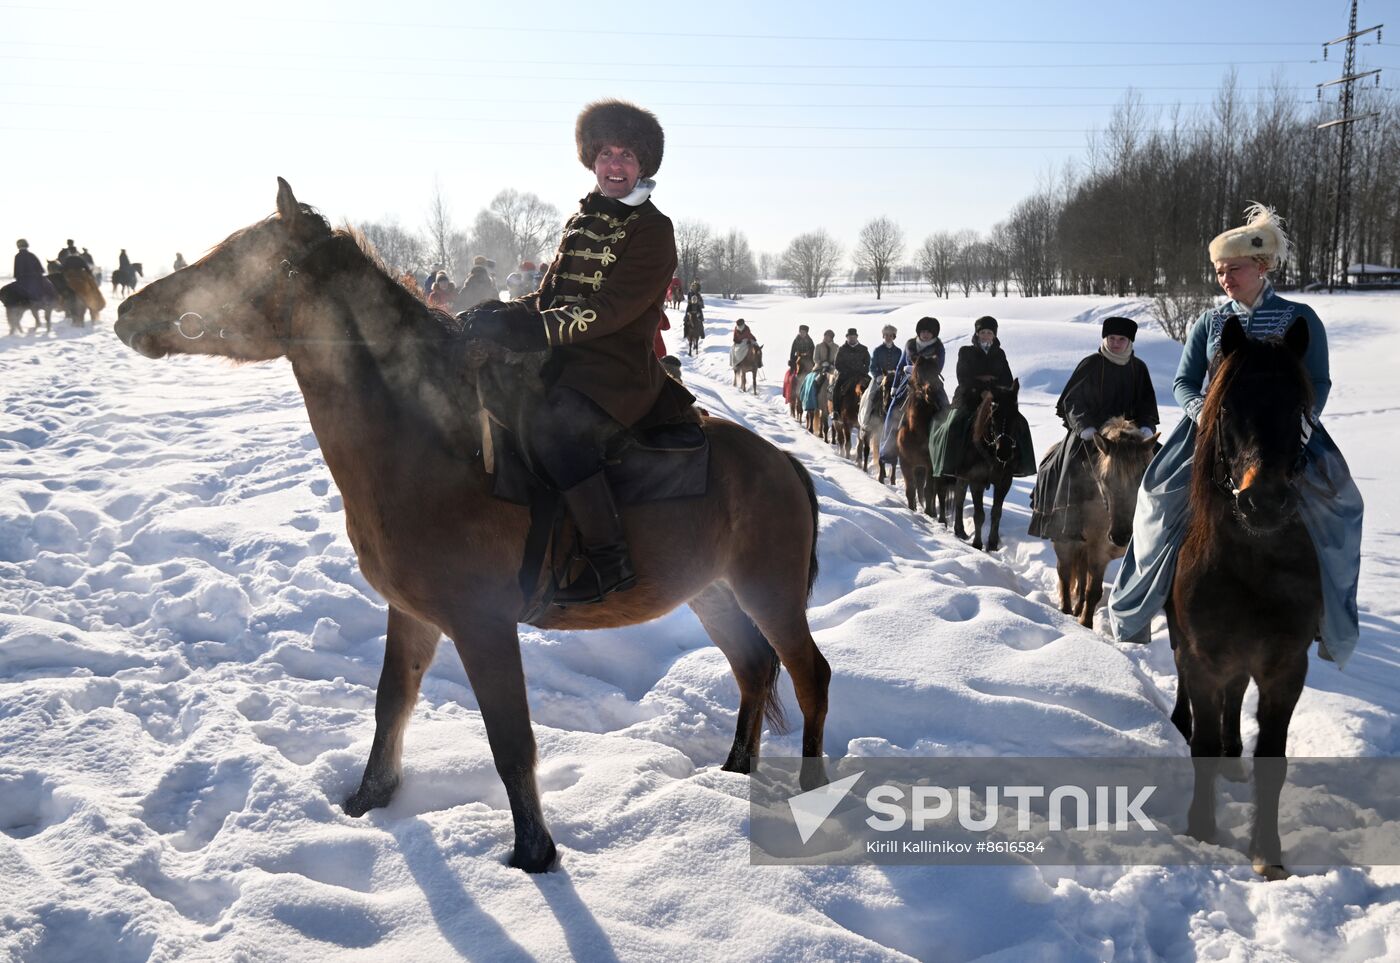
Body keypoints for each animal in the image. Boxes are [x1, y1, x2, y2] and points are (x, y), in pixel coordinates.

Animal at [901, 354, 946, 517]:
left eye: (937, 374)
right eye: (917, 374)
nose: (931, 392)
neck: (917, 433)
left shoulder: (930, 465)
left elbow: (929, 491)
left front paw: (929, 513)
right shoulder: (905, 463)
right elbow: (910, 490)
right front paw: (911, 510)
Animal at [1052, 414, 1153, 627]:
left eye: (1142, 476)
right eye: (1105, 479)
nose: (1120, 536)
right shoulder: (1098, 553)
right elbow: (1094, 591)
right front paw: (1085, 624)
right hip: (1065, 543)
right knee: (1064, 573)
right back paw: (1066, 612)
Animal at [1170, 316, 1321, 879]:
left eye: (1298, 409)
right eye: (1227, 407)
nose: (1265, 501)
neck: (1254, 568)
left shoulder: (1285, 667)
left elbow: (1272, 760)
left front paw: (1268, 854)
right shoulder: (1202, 658)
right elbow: (1204, 746)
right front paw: (1201, 829)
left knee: (1234, 698)